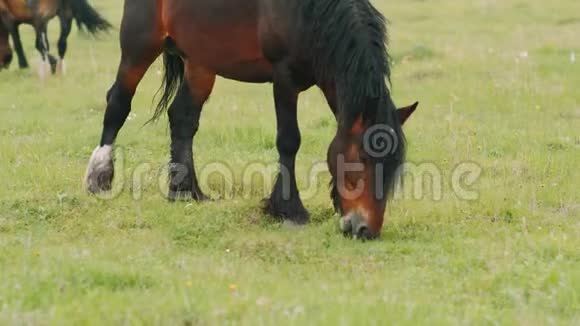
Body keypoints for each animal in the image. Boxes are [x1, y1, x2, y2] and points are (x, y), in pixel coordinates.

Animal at [85, 0, 416, 239]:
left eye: (392, 170)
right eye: (359, 161)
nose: (365, 229)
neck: (310, 14)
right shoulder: (283, 78)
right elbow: (289, 141)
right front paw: (289, 209)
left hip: (200, 61)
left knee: (182, 119)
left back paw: (186, 191)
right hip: (140, 46)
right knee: (118, 103)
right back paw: (99, 178)